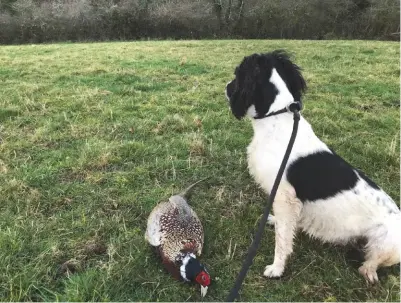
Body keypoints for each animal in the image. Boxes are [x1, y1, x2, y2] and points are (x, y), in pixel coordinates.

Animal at [223, 50, 398, 284]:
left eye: (237, 74)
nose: (226, 86)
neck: (278, 120)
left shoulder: (284, 198)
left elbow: (282, 239)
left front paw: (277, 268)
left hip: (389, 243)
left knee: (373, 262)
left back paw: (367, 272)